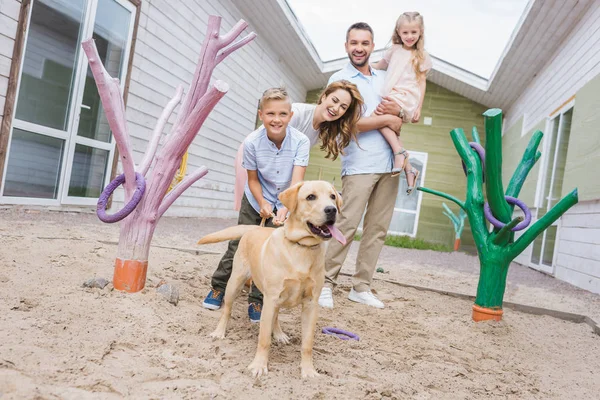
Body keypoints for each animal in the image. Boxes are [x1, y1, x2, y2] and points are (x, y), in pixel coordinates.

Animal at [199, 181, 344, 378]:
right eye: (310, 197)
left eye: (333, 197)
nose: (331, 210)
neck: (302, 248)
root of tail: (256, 228)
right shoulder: (271, 298)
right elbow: (264, 339)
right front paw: (259, 365)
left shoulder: (310, 304)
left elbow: (307, 343)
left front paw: (308, 370)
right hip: (235, 283)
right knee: (227, 310)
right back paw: (219, 332)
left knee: (275, 316)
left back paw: (279, 334)